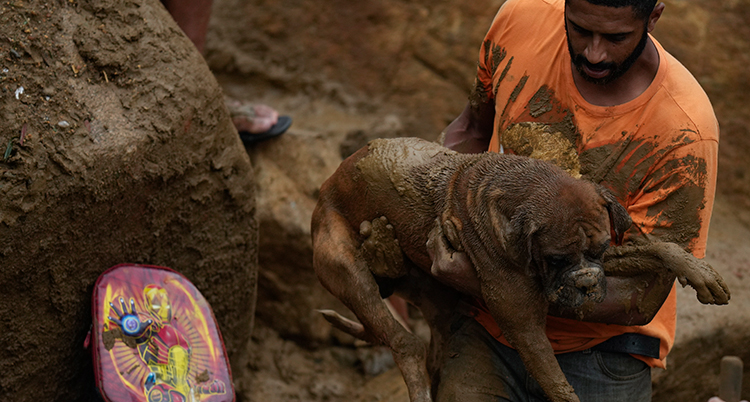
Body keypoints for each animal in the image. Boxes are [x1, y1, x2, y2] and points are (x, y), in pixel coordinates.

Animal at [312, 138, 728, 402]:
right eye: (555, 259)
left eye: (598, 248)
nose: (587, 284)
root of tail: (330, 181)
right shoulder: (525, 326)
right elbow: (560, 386)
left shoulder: (607, 257)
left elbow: (659, 246)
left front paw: (699, 273)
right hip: (344, 268)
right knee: (405, 344)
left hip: (434, 299)